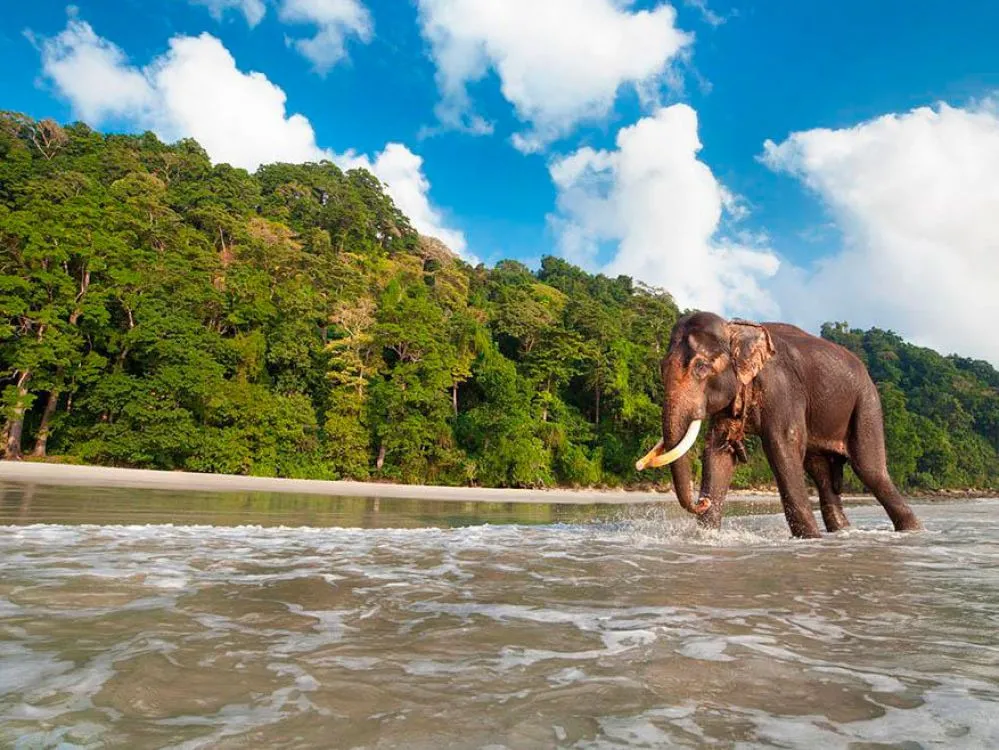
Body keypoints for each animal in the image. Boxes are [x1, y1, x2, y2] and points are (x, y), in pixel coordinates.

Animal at [636, 312, 924, 540]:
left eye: (701, 367)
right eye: (661, 367)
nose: (702, 501)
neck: (736, 330)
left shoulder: (782, 388)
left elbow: (782, 445)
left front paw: (809, 539)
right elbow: (719, 451)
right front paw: (706, 536)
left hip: (867, 404)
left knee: (870, 470)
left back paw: (912, 530)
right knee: (820, 472)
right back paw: (843, 532)